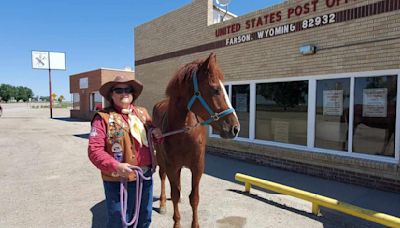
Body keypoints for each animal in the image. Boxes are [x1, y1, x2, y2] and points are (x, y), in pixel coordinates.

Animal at [152, 52, 241, 227]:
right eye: (215, 90)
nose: (235, 128)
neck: (184, 132)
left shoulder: (198, 167)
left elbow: (194, 198)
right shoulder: (171, 165)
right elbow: (175, 192)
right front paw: (176, 222)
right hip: (161, 158)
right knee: (163, 177)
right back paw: (163, 204)